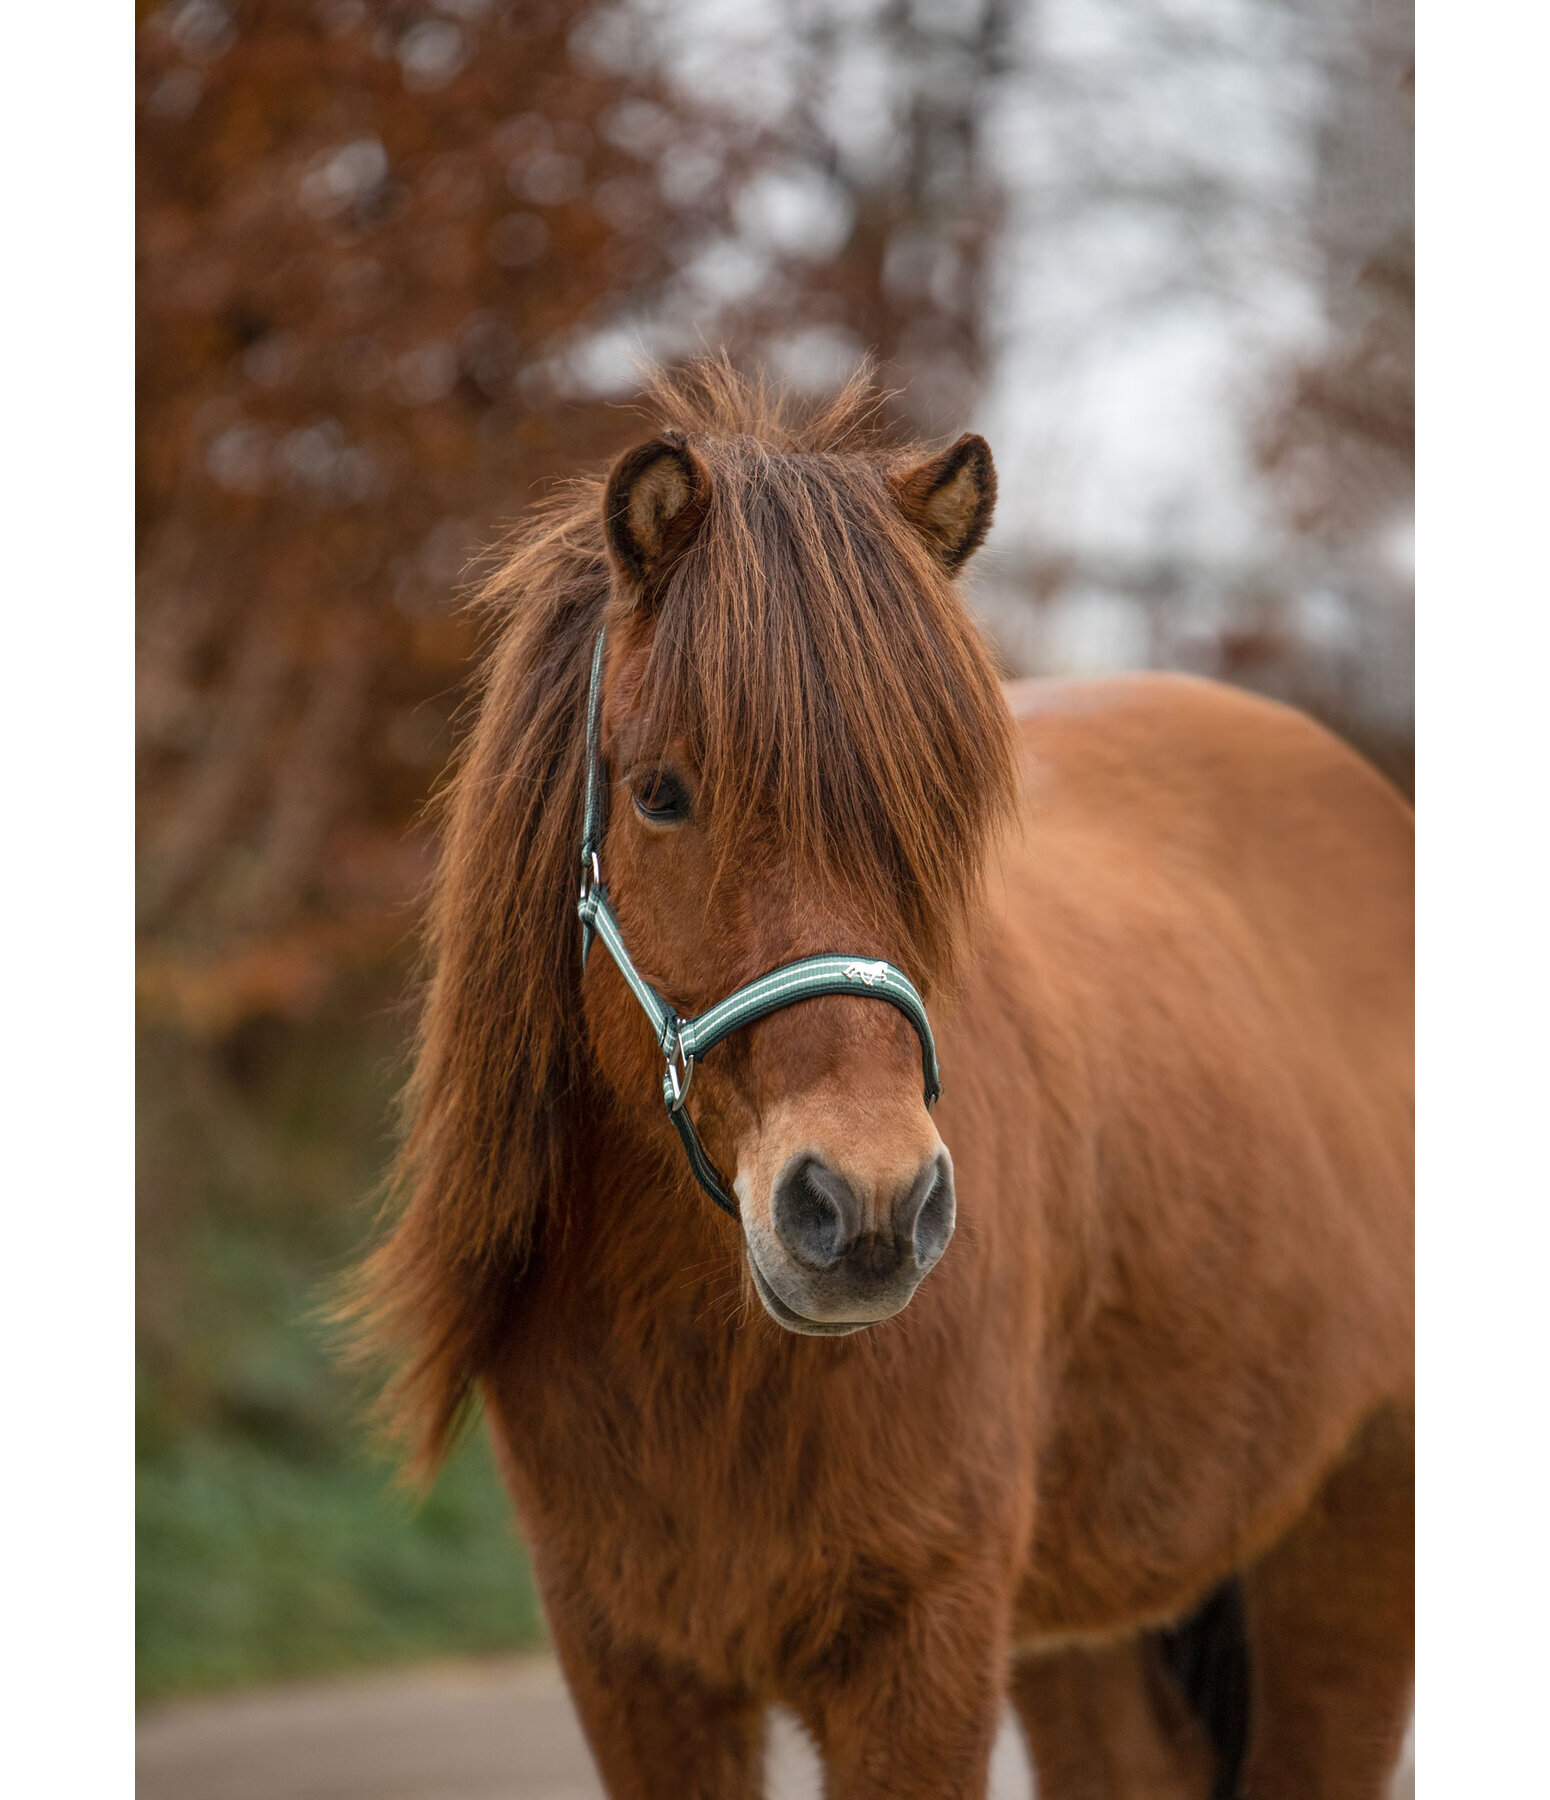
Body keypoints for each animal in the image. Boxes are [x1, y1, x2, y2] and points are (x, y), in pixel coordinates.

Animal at [354, 358, 1418, 1792]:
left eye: (941, 813)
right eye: (661, 793)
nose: (866, 1211)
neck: (698, 1341)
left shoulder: (923, 1653)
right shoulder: (630, 1667)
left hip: (1347, 1552)